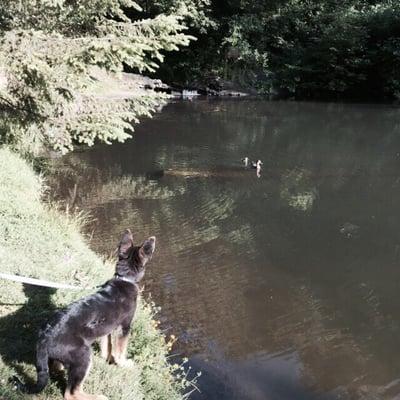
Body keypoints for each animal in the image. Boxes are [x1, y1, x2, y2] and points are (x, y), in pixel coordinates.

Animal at [23, 230, 155, 398]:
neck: (125, 279)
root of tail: (43, 339)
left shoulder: (108, 329)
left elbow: (107, 346)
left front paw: (106, 359)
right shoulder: (124, 327)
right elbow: (120, 351)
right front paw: (124, 364)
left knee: (56, 369)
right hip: (83, 356)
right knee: (71, 393)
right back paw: (98, 396)